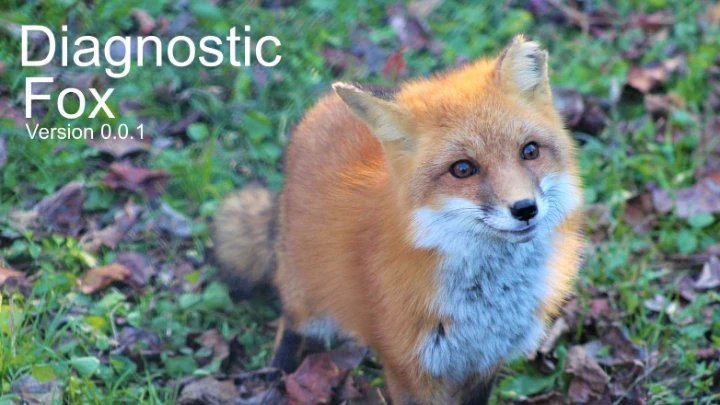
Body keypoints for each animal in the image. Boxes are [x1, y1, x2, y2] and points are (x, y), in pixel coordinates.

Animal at [213, 35, 584, 404]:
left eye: (530, 151)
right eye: (463, 169)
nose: (525, 209)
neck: (488, 303)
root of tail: (322, 109)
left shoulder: (485, 361)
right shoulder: (410, 368)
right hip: (307, 295)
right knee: (289, 324)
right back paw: (277, 375)